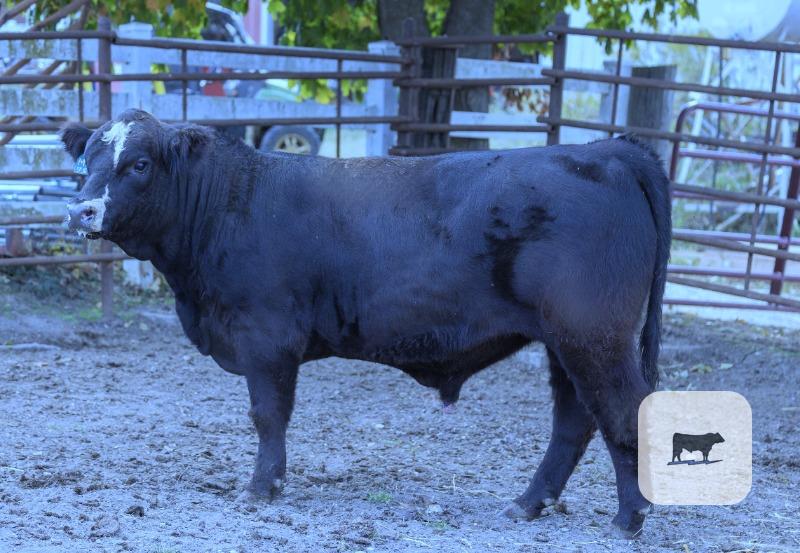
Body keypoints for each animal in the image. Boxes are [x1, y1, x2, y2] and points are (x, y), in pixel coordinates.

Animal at [60, 109, 671, 538]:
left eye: (139, 163)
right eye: (85, 160)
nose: (80, 210)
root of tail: (606, 149)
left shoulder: (266, 337)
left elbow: (268, 416)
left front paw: (262, 487)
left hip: (592, 335)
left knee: (621, 410)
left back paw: (629, 518)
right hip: (566, 341)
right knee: (574, 419)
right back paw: (528, 504)